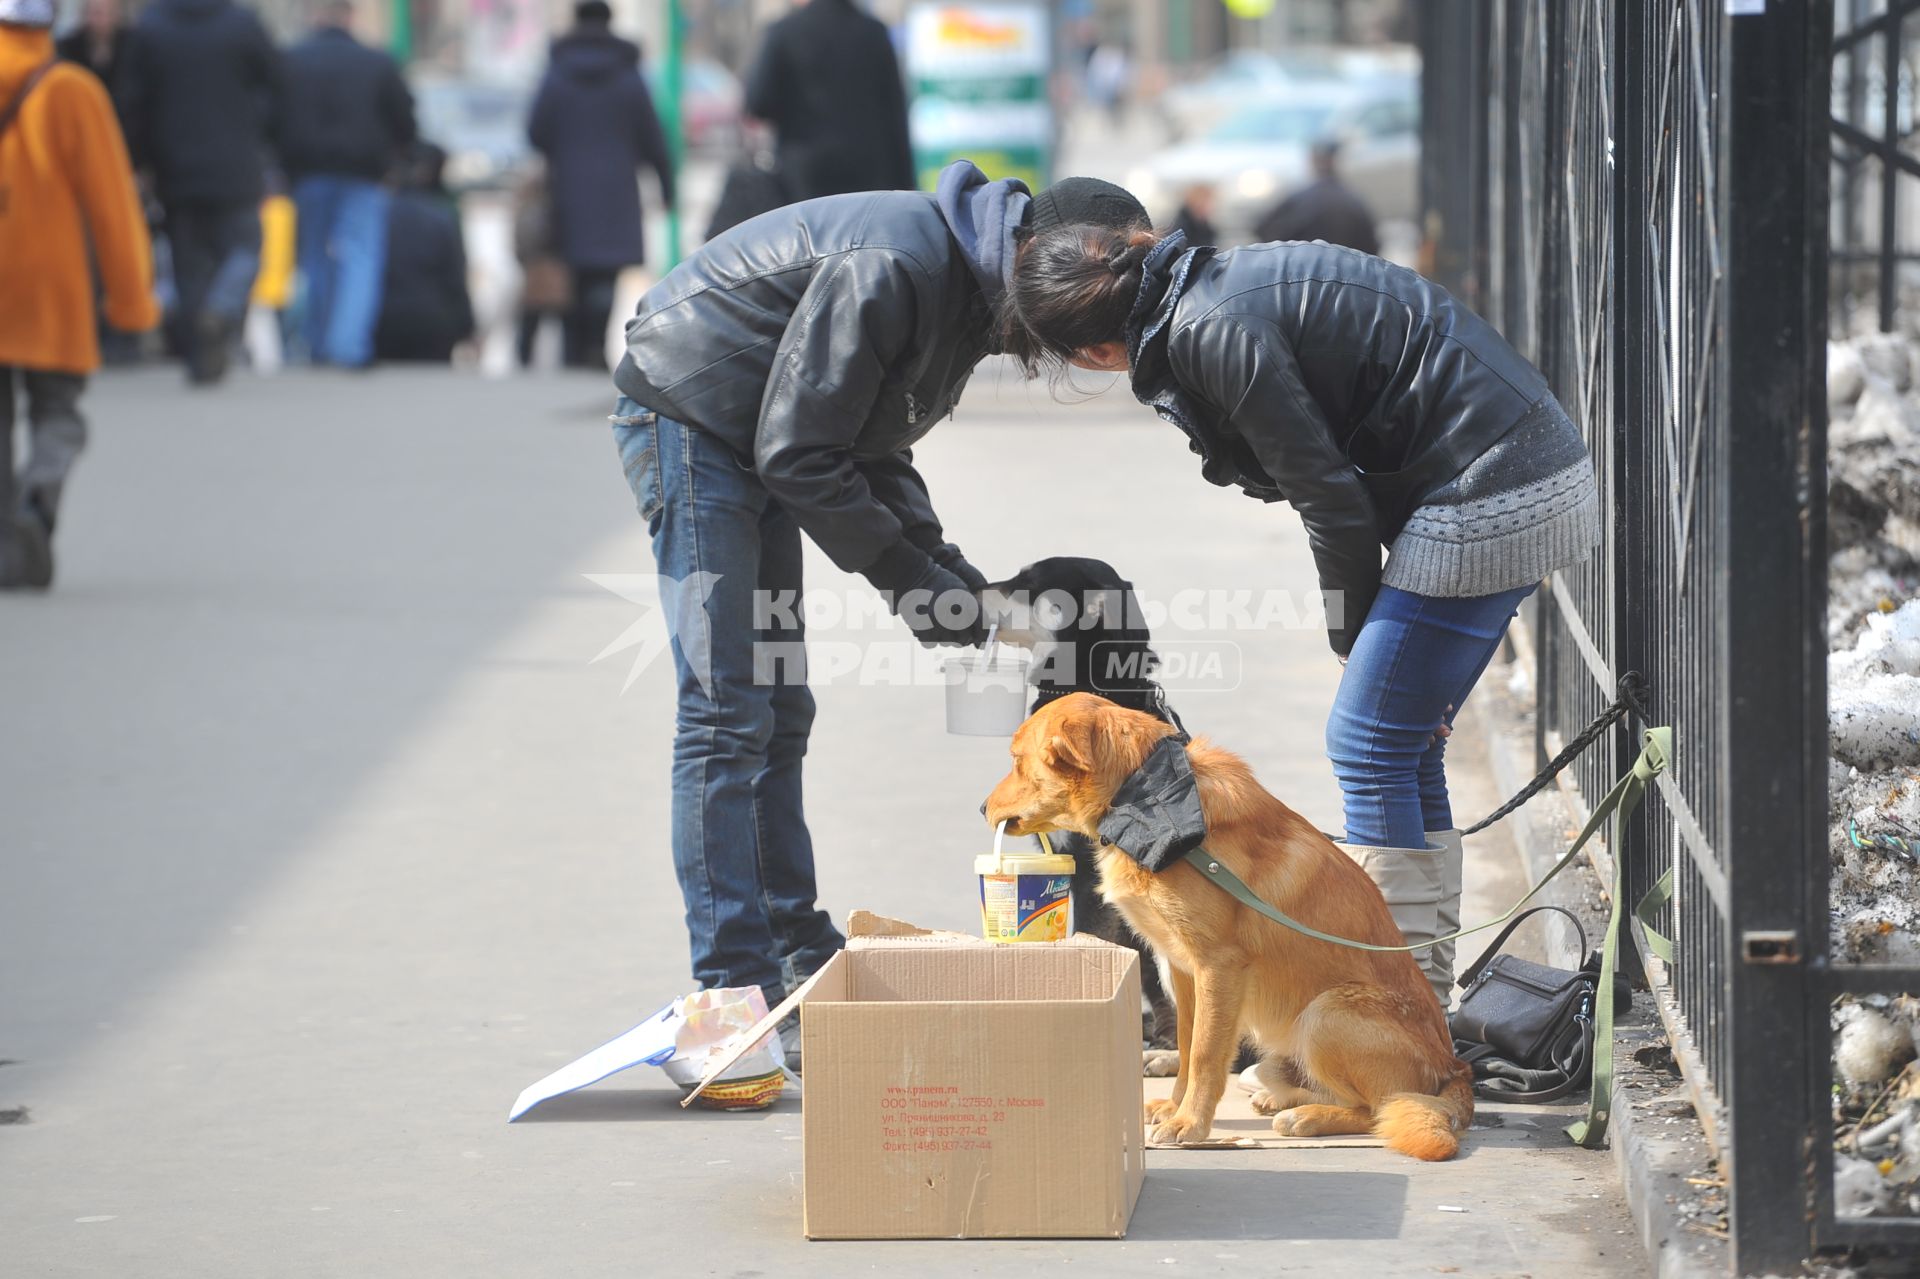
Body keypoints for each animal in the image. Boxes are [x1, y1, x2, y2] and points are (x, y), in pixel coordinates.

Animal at [983, 699, 1474, 1152]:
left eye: (1016, 760)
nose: (982, 806)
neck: (1151, 798)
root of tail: (1455, 1067)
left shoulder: (1218, 968)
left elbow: (1204, 1054)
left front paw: (1189, 1123)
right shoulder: (1182, 970)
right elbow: (1187, 1044)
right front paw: (1174, 1107)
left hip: (1327, 1013)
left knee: (1376, 1108)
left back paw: (1309, 1116)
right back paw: (1284, 1099)